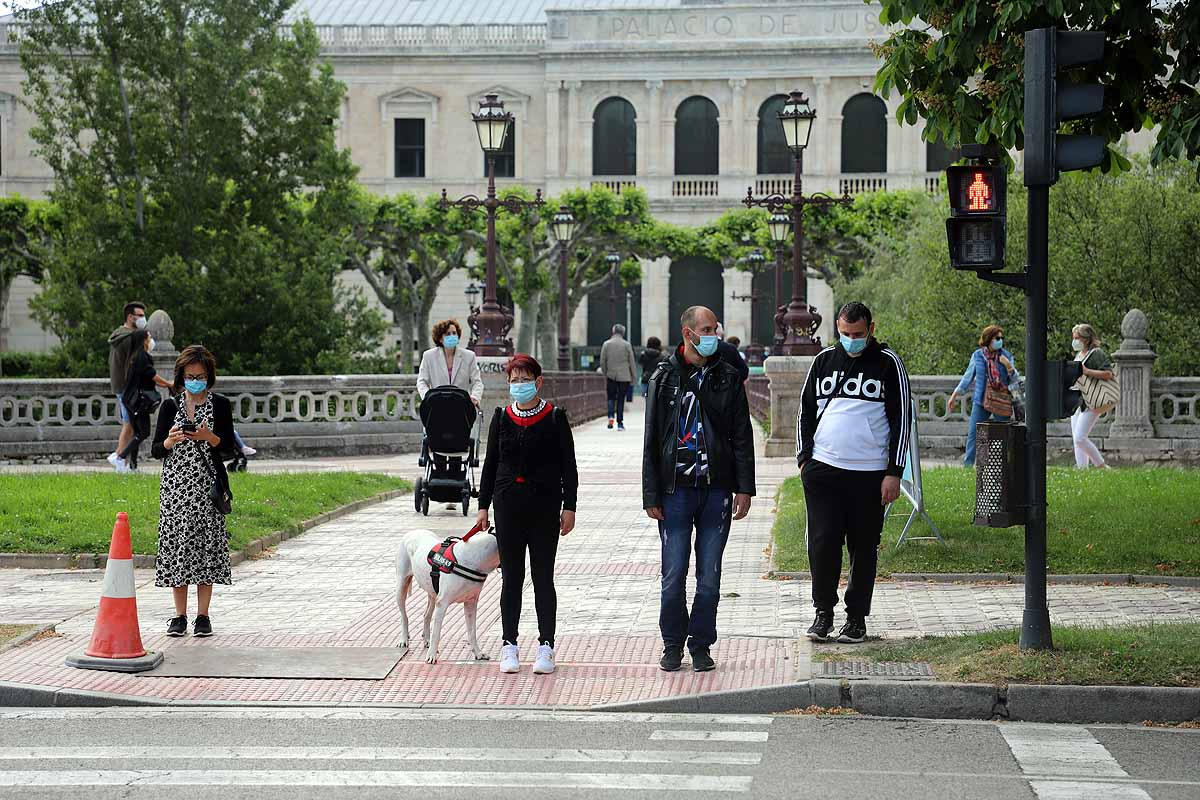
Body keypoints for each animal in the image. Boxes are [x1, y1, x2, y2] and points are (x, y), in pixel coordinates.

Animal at [396, 527, 499, 666]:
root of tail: (413, 531)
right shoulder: (442, 603)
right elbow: (437, 633)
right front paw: (431, 656)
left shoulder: (471, 602)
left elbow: (472, 631)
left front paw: (478, 653)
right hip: (402, 585)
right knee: (404, 616)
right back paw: (404, 639)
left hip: (433, 592)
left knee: (426, 615)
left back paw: (427, 640)